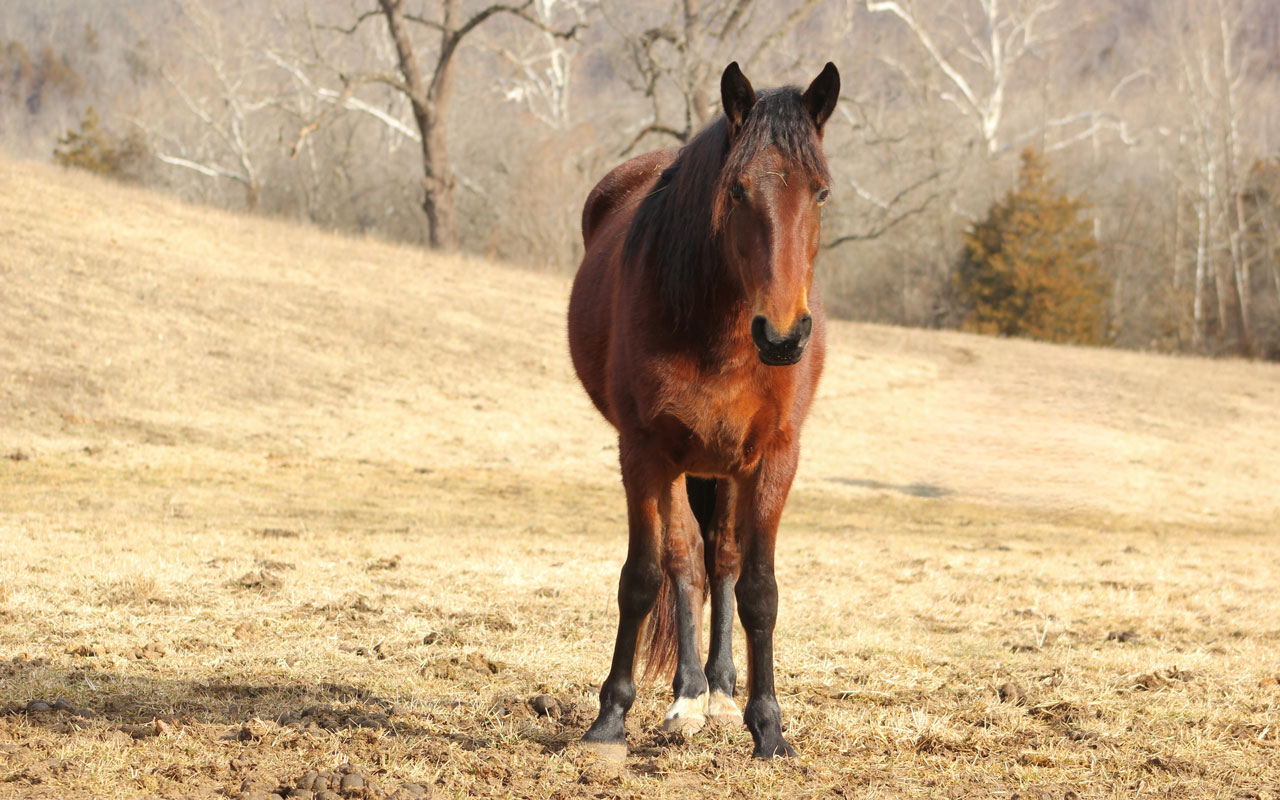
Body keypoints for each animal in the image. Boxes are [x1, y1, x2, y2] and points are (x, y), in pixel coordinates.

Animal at [567, 61, 839, 760]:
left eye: (821, 193)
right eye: (737, 192)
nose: (783, 336)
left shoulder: (775, 456)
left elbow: (759, 590)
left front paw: (769, 727)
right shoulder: (643, 451)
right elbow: (643, 576)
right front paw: (609, 719)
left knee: (720, 560)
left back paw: (718, 690)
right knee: (686, 561)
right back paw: (690, 694)